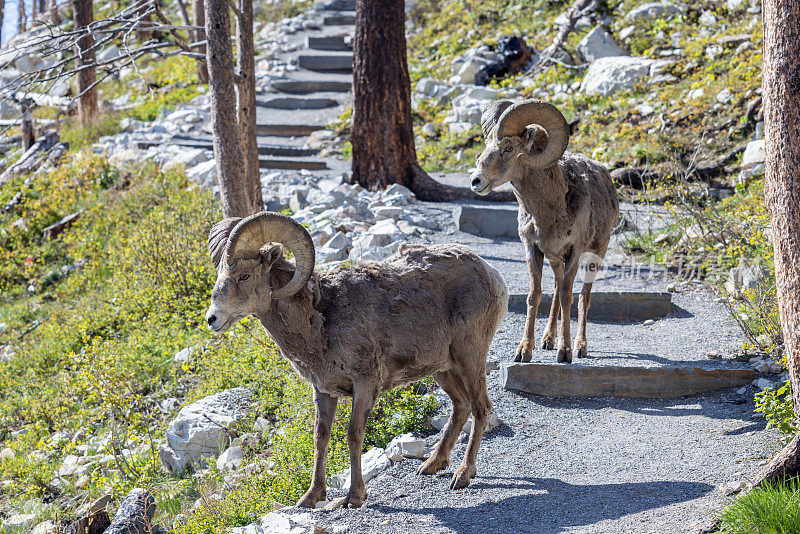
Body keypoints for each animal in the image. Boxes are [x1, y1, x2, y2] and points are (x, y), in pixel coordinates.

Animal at [205, 213, 506, 510]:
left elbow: (353, 434)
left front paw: (354, 497)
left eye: (244, 275)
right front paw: (311, 497)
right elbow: (321, 436)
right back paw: (431, 465)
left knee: (481, 406)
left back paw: (463, 475)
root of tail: (491, 273)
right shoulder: (323, 391)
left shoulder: (365, 385)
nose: (212, 319)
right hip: (442, 369)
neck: (318, 321)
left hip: (470, 357)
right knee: (461, 405)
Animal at [468, 100, 620, 366]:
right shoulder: (533, 249)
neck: (550, 212)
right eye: (485, 148)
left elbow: (569, 297)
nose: (476, 181)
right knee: (557, 290)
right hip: (555, 260)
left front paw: (565, 352)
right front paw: (524, 351)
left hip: (595, 254)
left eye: (509, 148)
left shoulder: (575, 251)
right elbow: (535, 295)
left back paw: (580, 346)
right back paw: (547, 340)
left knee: (583, 296)